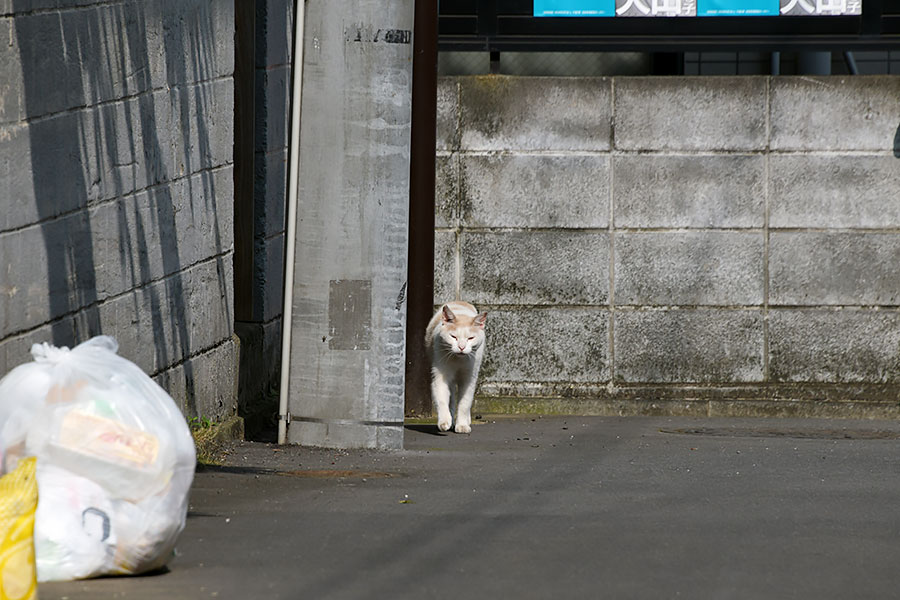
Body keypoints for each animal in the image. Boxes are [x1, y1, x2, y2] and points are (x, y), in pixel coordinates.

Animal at [422, 302, 486, 434]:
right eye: (453, 337)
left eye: (470, 338)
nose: (461, 347)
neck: (458, 360)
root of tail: (459, 301)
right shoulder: (440, 375)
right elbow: (442, 400)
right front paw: (445, 422)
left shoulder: (469, 379)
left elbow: (465, 403)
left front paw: (462, 425)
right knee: (451, 399)